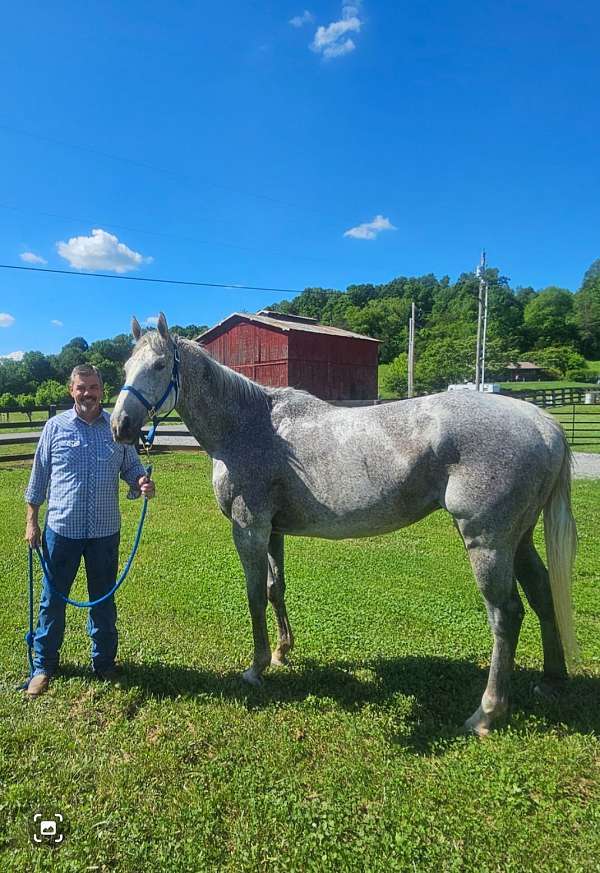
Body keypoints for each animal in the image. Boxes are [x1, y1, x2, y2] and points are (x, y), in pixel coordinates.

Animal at [111, 314, 576, 736]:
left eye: (158, 365)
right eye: (126, 367)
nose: (120, 426)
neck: (248, 426)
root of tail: (544, 424)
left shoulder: (250, 528)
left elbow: (254, 596)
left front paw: (257, 667)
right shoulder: (273, 531)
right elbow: (275, 589)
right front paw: (282, 652)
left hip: (487, 542)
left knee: (506, 615)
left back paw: (487, 713)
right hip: (518, 539)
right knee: (542, 594)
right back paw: (552, 682)